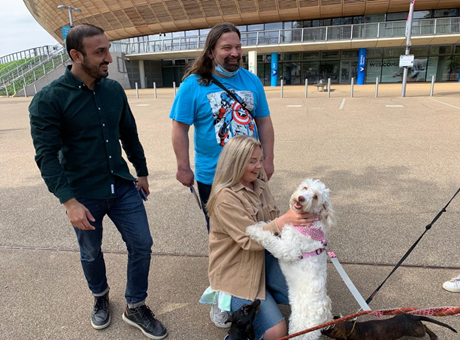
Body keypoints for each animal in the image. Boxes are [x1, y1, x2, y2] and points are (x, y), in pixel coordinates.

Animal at [246, 179, 336, 338]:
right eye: (305, 188)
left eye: (315, 197)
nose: (301, 198)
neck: (307, 225)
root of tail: (324, 313)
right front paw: (262, 225)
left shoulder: (288, 249)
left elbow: (269, 239)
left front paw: (253, 230)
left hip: (302, 329)